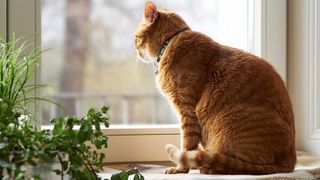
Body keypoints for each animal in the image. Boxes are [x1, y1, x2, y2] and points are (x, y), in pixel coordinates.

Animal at [134, 1, 296, 174]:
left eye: (136, 38)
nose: (136, 51)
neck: (170, 42)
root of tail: (291, 162)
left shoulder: (187, 110)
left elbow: (186, 144)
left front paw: (181, 169)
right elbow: (193, 147)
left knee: (239, 165)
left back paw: (209, 167)